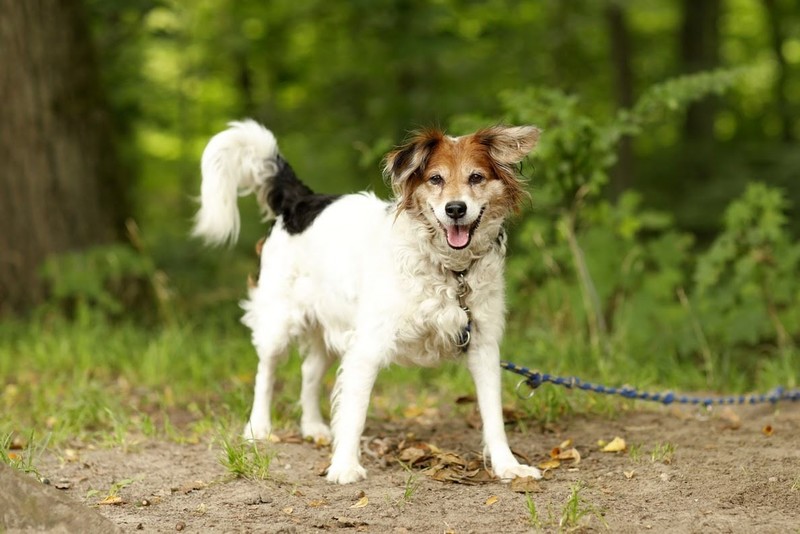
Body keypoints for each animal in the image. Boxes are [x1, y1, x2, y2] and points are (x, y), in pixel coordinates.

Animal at [195, 121, 544, 486]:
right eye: (435, 179)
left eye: (476, 177)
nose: (455, 209)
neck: (449, 269)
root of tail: (303, 199)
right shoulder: (368, 345)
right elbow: (355, 411)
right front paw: (345, 466)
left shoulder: (482, 345)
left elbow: (494, 416)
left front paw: (507, 466)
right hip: (280, 320)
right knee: (266, 371)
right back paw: (258, 427)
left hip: (329, 324)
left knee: (309, 371)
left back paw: (313, 427)